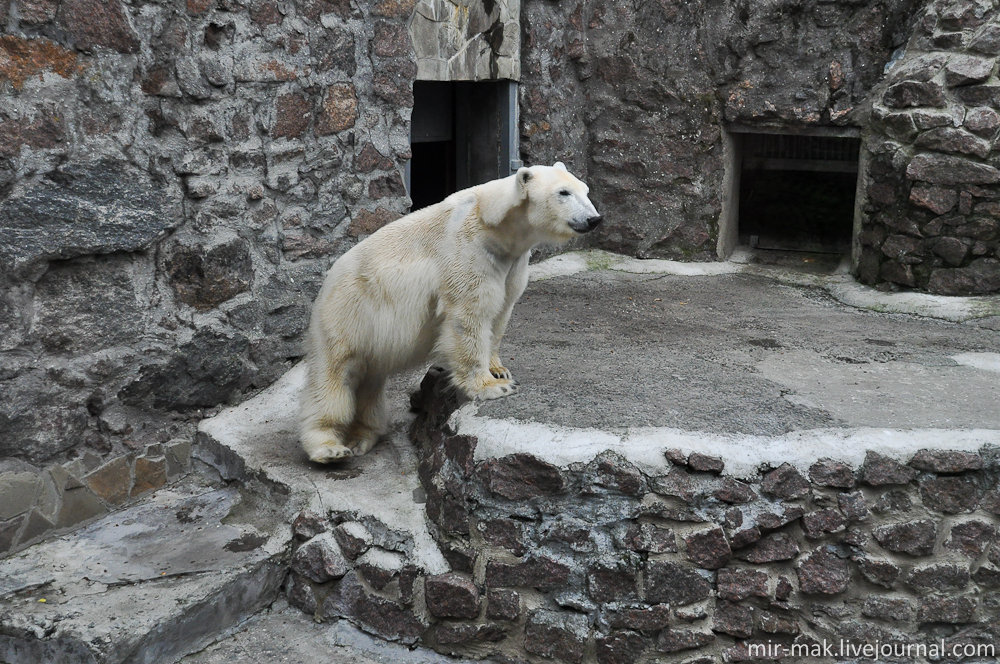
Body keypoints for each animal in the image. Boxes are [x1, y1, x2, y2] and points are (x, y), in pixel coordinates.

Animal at [300, 162, 600, 462]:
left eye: (585, 190)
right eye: (563, 192)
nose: (594, 219)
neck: (499, 229)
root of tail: (325, 286)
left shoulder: (511, 265)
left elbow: (501, 313)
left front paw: (499, 370)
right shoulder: (468, 254)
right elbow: (469, 317)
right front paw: (493, 386)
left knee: (368, 383)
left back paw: (361, 437)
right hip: (347, 313)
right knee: (335, 376)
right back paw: (329, 447)